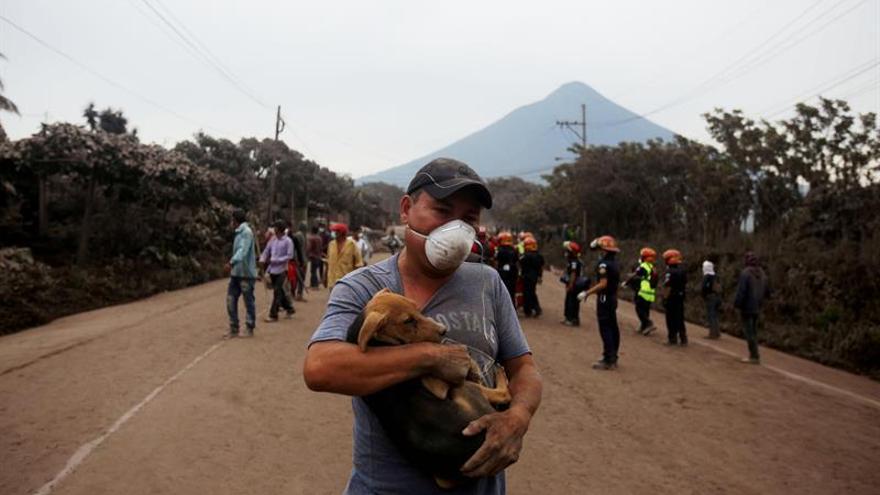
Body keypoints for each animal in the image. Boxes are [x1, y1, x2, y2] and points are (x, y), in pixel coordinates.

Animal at [344, 288, 508, 490]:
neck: (378, 341)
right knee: (503, 394)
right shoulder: (438, 386)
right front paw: (468, 362)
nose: (444, 330)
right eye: (407, 321)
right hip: (466, 389)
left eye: (416, 307)